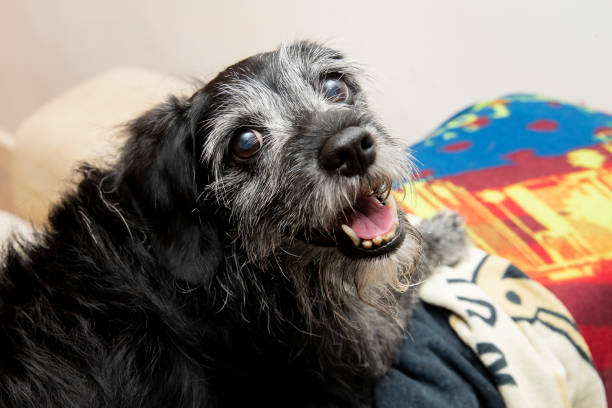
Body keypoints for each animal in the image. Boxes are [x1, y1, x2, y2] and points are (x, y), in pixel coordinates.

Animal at [0, 39, 464, 406]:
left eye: (335, 86)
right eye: (245, 143)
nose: (351, 147)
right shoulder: (360, 355)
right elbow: (401, 288)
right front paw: (444, 233)